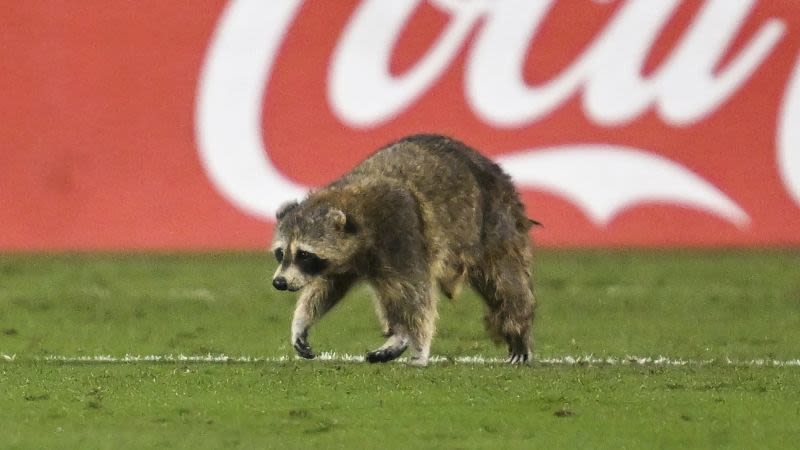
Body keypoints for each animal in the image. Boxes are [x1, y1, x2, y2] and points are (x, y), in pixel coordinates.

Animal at [270, 134, 536, 366]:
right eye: (281, 253)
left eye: (304, 254)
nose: (279, 282)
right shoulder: (343, 259)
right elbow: (327, 286)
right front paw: (302, 321)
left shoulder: (401, 230)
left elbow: (416, 293)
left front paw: (419, 344)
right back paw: (397, 334)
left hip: (494, 219)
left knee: (504, 279)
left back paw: (518, 327)